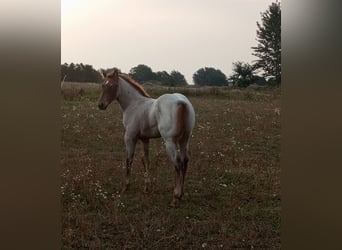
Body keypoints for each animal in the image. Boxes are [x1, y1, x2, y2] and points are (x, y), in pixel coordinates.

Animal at [97, 69, 196, 207]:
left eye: (112, 86)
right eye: (102, 85)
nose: (101, 105)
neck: (134, 104)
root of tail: (182, 102)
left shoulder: (130, 137)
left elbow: (129, 160)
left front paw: (125, 187)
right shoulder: (145, 139)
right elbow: (146, 160)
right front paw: (146, 187)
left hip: (170, 141)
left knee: (177, 163)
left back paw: (175, 198)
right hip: (185, 140)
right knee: (185, 161)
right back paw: (181, 195)